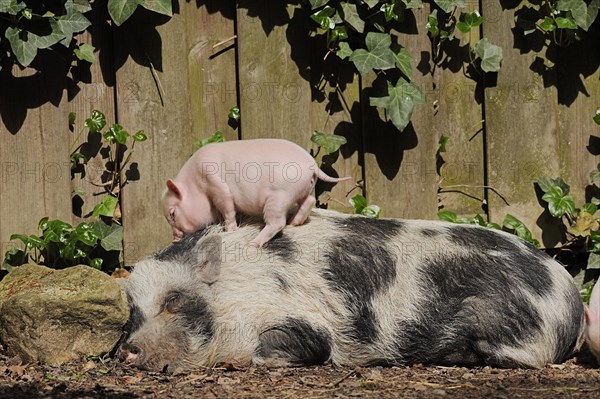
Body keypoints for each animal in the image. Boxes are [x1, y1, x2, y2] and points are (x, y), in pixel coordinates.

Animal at [118, 209, 584, 372]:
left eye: (174, 301)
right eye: (132, 310)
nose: (128, 351)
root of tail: (571, 303)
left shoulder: (305, 318)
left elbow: (316, 344)